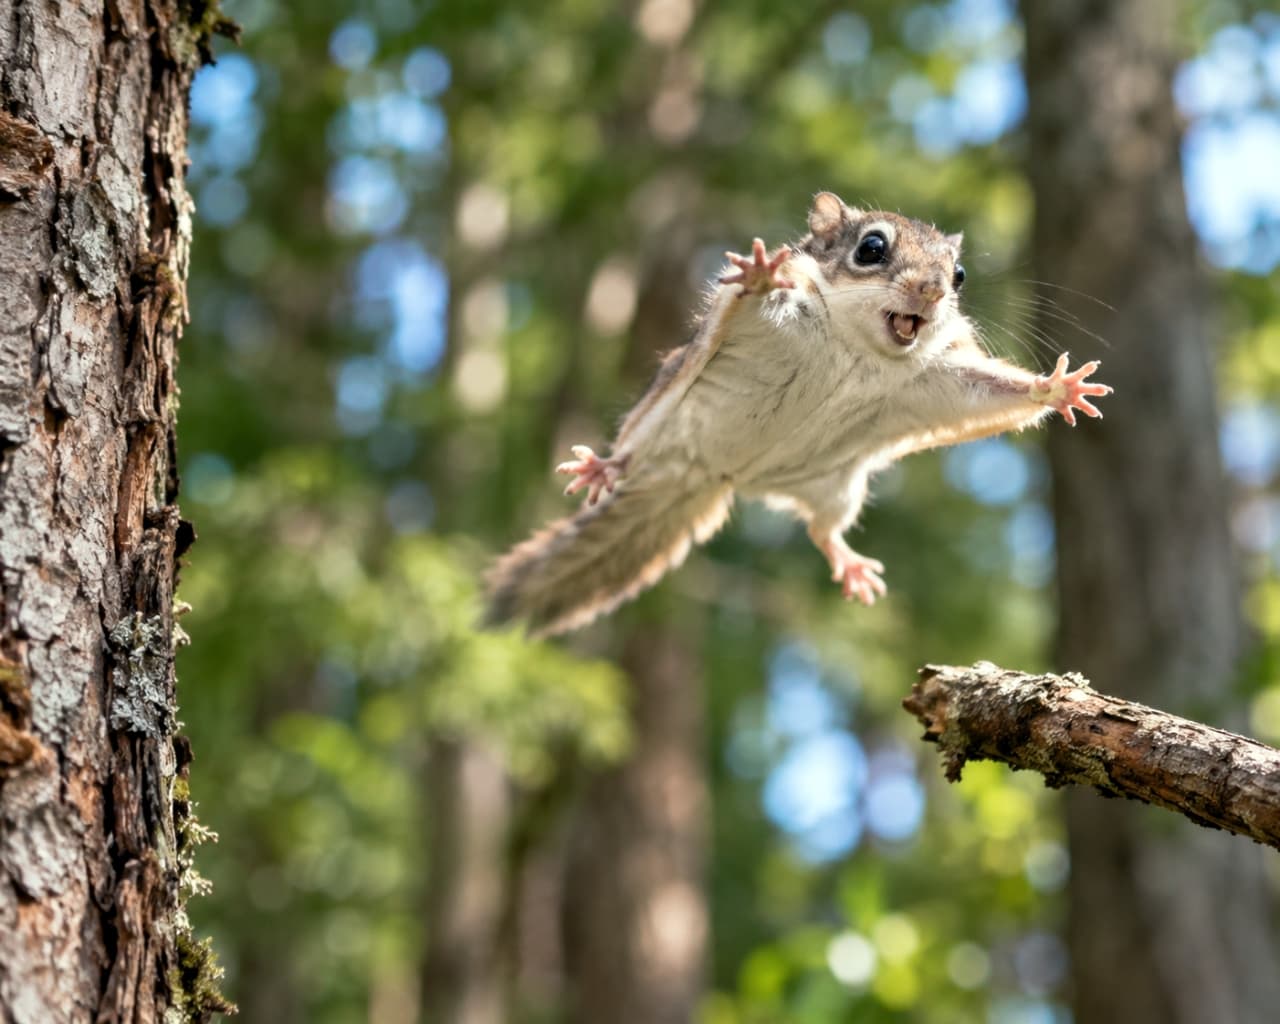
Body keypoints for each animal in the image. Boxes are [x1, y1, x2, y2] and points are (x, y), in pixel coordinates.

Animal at [485, 192, 1112, 638]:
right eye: (871, 248)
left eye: (958, 276)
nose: (933, 291)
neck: (858, 348)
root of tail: (716, 475)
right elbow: (754, 293)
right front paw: (762, 274)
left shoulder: (944, 373)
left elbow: (997, 389)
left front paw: (1057, 388)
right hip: (660, 413)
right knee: (633, 447)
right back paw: (608, 467)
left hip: (836, 486)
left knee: (820, 528)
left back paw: (848, 561)